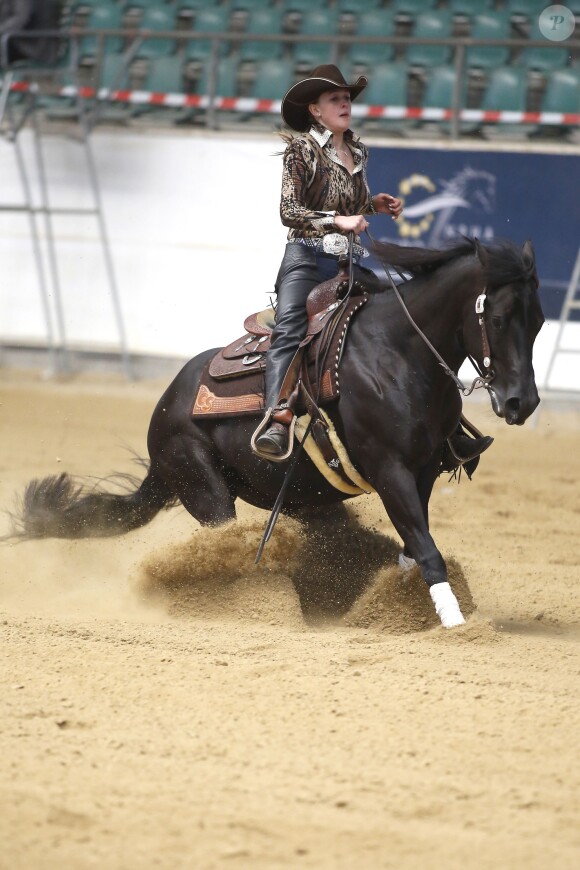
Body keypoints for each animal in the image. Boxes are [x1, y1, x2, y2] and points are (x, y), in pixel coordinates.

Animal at [12, 237, 545, 628]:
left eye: (539, 321)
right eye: (498, 319)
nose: (523, 402)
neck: (396, 352)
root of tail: (163, 410)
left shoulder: (425, 473)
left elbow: (415, 547)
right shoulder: (390, 470)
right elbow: (427, 550)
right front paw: (456, 624)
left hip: (298, 498)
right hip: (204, 489)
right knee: (224, 538)